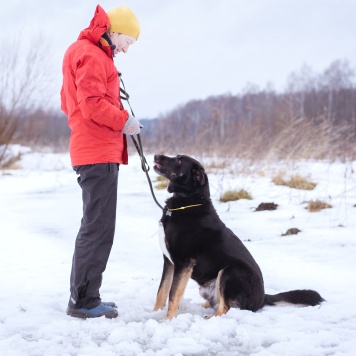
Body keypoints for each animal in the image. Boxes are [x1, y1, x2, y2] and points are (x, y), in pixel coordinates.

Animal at [152, 154, 324, 320]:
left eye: (179, 159)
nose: (155, 156)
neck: (187, 201)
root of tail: (263, 298)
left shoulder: (184, 263)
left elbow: (172, 295)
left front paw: (167, 321)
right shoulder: (169, 262)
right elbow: (161, 292)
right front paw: (154, 314)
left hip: (230, 271)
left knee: (226, 308)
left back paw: (208, 318)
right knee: (219, 303)